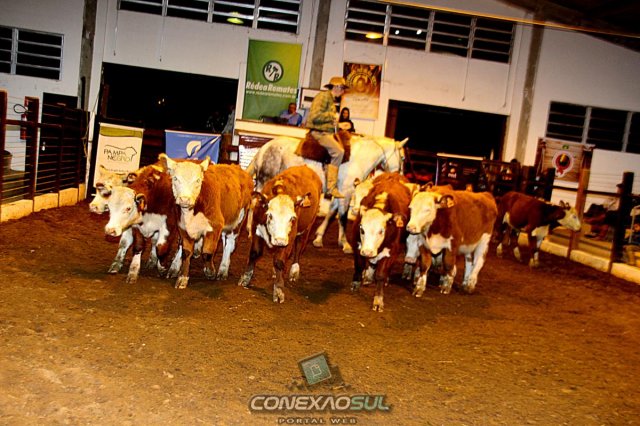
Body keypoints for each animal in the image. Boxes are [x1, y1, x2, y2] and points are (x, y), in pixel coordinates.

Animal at [160, 154, 253, 289]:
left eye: (198, 180)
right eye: (175, 178)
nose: (185, 199)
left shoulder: (215, 226)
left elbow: (207, 252)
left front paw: (210, 272)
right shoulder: (183, 228)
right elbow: (186, 252)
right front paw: (182, 278)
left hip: (238, 220)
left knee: (229, 242)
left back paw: (223, 270)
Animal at [238, 165, 323, 303]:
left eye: (292, 218)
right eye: (270, 215)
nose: (280, 241)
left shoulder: (290, 237)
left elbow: (279, 261)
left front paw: (278, 290)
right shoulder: (256, 227)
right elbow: (254, 253)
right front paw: (245, 278)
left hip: (308, 227)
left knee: (299, 248)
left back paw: (294, 271)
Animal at [246, 134, 408, 254]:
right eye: (403, 157)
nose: (399, 176)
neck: (357, 158)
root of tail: (264, 148)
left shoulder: (339, 193)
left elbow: (331, 213)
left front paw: (318, 238)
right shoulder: (346, 193)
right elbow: (342, 217)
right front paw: (345, 244)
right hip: (264, 180)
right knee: (254, 203)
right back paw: (250, 231)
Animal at [349, 177, 412, 312]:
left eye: (381, 231)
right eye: (362, 229)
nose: (367, 251)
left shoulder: (391, 251)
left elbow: (381, 275)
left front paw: (378, 300)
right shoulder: (357, 246)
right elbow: (359, 265)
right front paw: (356, 283)